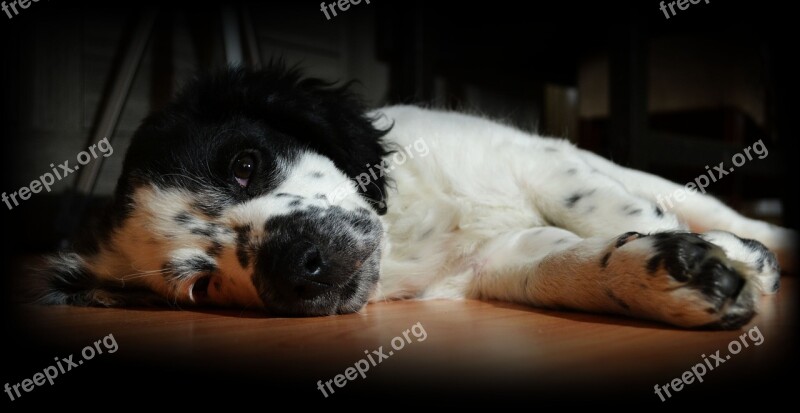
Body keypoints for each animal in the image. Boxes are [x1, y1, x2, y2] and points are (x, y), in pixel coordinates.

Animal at [34, 65, 796, 328]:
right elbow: (569, 265)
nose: (300, 264)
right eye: (198, 286)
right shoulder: (500, 262)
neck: (412, 227)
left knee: (704, 203)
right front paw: (667, 276)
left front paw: (728, 254)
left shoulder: (542, 162)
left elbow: (610, 208)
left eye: (246, 164)